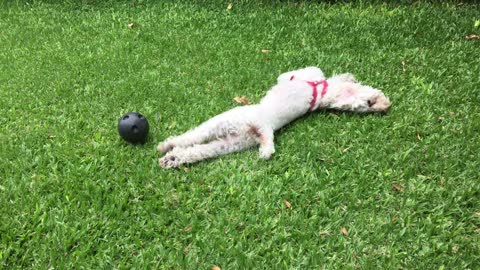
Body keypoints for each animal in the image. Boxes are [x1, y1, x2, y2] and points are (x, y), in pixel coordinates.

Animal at [158, 66, 390, 168]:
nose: (384, 104)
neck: (321, 91)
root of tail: (259, 127)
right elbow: (292, 74)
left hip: (228, 140)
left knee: (197, 146)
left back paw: (171, 156)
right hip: (226, 126)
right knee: (191, 139)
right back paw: (167, 149)